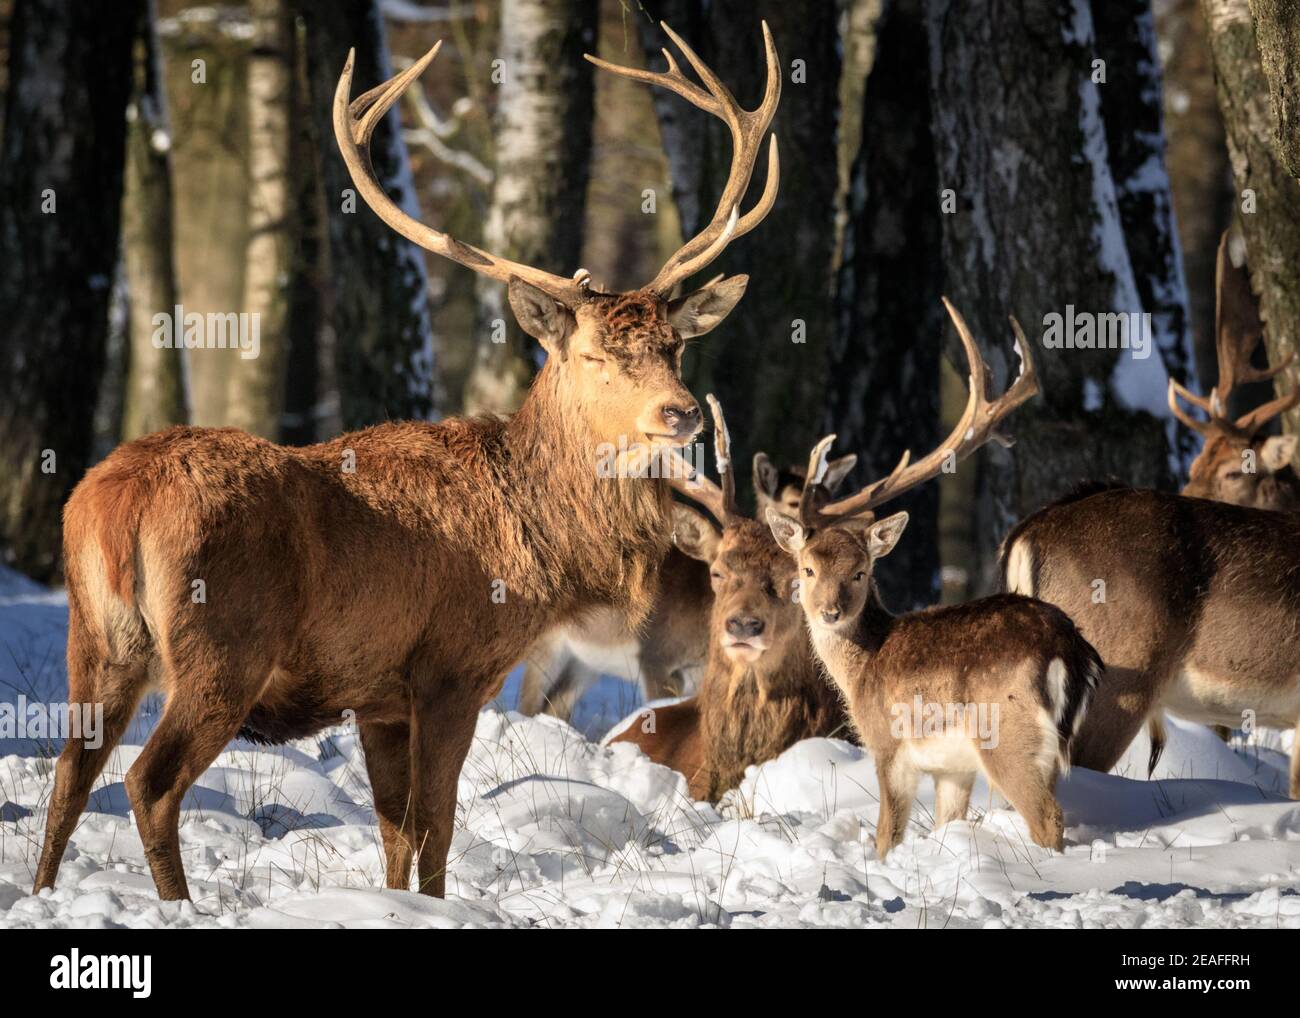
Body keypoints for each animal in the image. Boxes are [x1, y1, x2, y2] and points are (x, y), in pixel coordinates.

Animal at [32, 21, 780, 899]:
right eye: (594, 354)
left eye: (674, 347)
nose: (681, 412)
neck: (542, 542)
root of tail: (116, 503)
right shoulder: (452, 666)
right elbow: (437, 826)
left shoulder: (380, 695)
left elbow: (392, 829)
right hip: (220, 647)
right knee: (147, 782)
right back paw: (177, 904)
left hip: (96, 642)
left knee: (69, 775)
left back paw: (42, 892)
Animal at [764, 299, 1102, 858]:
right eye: (807, 568)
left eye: (861, 572)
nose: (830, 611)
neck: (861, 672)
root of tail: (1069, 651)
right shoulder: (952, 770)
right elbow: (947, 824)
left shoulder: (890, 745)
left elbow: (888, 833)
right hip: (1045, 750)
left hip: (1005, 734)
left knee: (1049, 820)